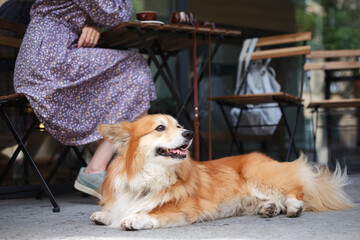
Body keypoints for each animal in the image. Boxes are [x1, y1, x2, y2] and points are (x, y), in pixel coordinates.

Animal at [90, 113, 354, 230]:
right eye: (160, 128)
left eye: (179, 126)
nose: (189, 133)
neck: (150, 175)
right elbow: (116, 209)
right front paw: (104, 214)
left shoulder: (186, 209)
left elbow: (154, 212)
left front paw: (135, 218)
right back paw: (269, 208)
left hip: (260, 175)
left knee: (297, 189)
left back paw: (293, 206)